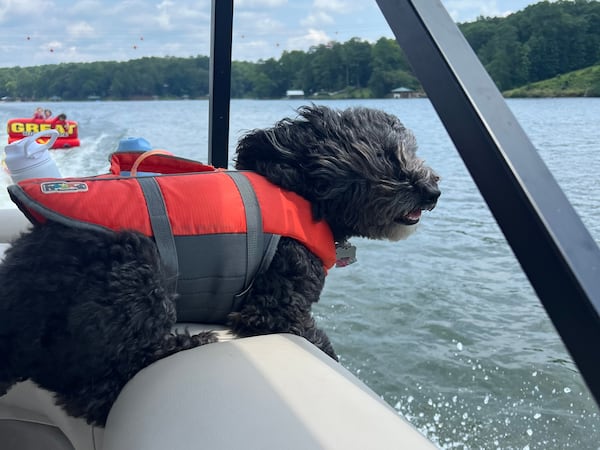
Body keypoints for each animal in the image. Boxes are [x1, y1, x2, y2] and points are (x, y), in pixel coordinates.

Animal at [0, 104, 440, 426]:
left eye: (412, 149)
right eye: (386, 156)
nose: (433, 190)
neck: (303, 194)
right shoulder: (274, 310)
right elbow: (322, 344)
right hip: (135, 265)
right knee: (92, 389)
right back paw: (183, 345)